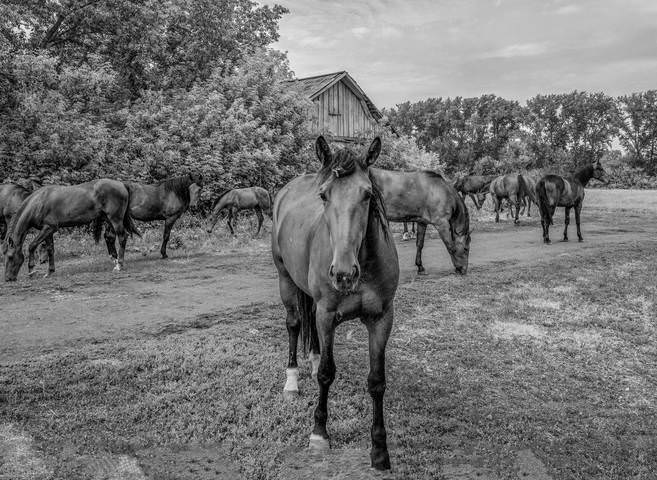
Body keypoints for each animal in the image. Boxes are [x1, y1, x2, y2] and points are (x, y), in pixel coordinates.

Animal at [3, 179, 139, 281]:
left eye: (10, 257)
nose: (8, 278)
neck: (39, 202)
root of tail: (121, 184)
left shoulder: (49, 228)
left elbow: (31, 246)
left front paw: (32, 271)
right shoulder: (47, 230)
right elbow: (50, 249)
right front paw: (49, 272)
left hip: (115, 219)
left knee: (122, 237)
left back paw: (119, 265)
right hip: (108, 219)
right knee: (111, 237)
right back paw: (115, 261)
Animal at [272, 136, 399, 470]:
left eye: (367, 194)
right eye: (324, 195)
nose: (343, 273)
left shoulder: (382, 319)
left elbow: (377, 381)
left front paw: (379, 450)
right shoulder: (328, 315)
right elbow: (328, 374)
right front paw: (319, 434)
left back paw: (312, 362)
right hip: (285, 280)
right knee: (294, 324)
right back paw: (292, 382)